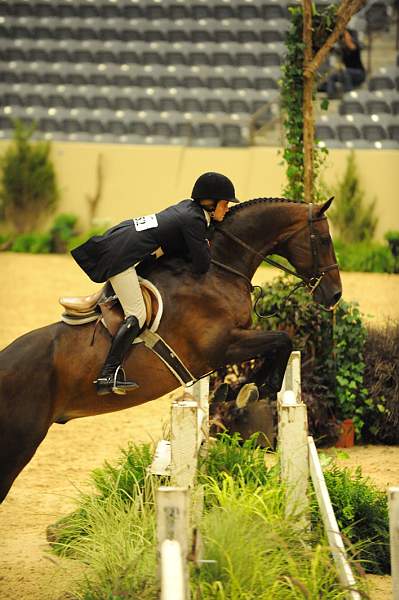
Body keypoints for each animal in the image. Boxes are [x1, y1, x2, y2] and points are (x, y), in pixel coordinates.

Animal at [0, 197, 344, 502]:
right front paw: (249, 390)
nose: (335, 295)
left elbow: (277, 347)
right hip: (18, 443)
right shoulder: (220, 345)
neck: (218, 269)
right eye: (324, 239)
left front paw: (236, 391)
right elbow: (281, 341)